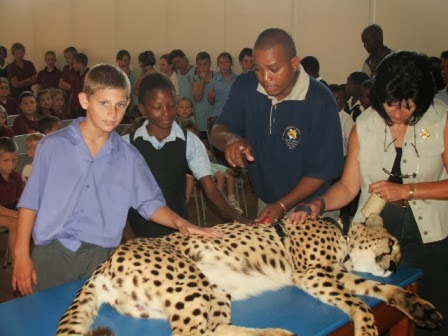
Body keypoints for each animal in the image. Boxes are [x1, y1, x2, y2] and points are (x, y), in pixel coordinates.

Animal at [55, 214, 440, 334]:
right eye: (392, 243)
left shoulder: (334, 274)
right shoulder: (311, 274)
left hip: (213, 292)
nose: (394, 266)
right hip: (190, 282)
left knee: (213, 330)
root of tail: (107, 261)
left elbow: (375, 288)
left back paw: (273, 333)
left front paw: (418, 307)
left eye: (398, 253)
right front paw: (366, 328)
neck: (343, 233)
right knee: (193, 334)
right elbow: (358, 303)